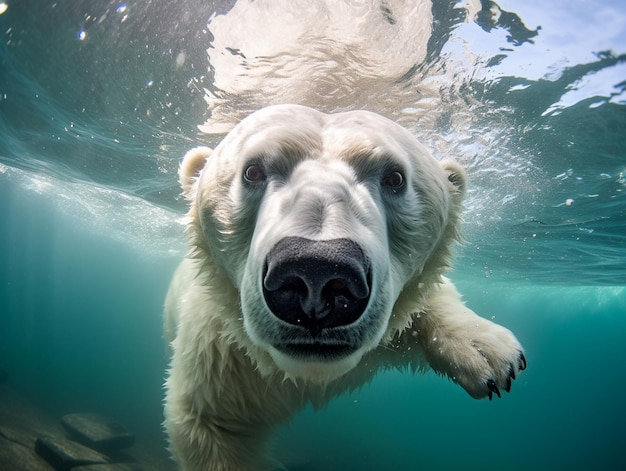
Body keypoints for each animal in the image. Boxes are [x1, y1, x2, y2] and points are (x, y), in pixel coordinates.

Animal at [163, 104, 524, 471]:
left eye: (395, 178)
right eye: (252, 171)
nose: (316, 274)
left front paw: (485, 350)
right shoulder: (222, 357)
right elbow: (210, 426)